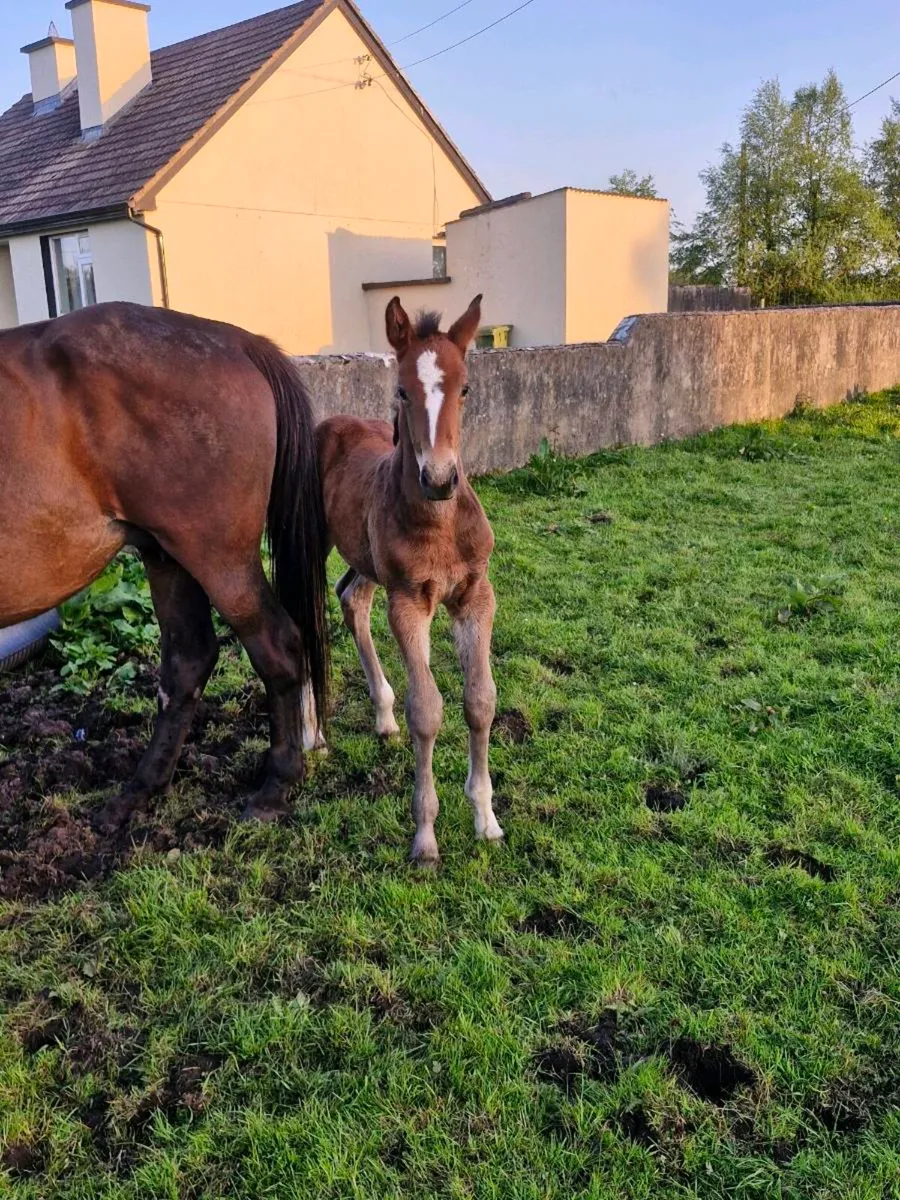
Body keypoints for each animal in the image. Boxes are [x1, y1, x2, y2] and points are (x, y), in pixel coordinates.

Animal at [0, 301, 328, 829]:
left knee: (275, 645)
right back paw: (139, 790)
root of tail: (238, 342)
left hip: (217, 557)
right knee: (187, 662)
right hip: (166, 556)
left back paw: (275, 786)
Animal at [305, 294, 504, 864]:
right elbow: (429, 710)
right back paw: (311, 734)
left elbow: (480, 700)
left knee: (351, 598)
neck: (439, 524)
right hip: (311, 545)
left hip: (367, 562)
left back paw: (383, 715)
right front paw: (426, 837)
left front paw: (486, 818)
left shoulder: (475, 596)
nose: (438, 479)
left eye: (465, 388)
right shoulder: (408, 602)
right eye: (400, 389)